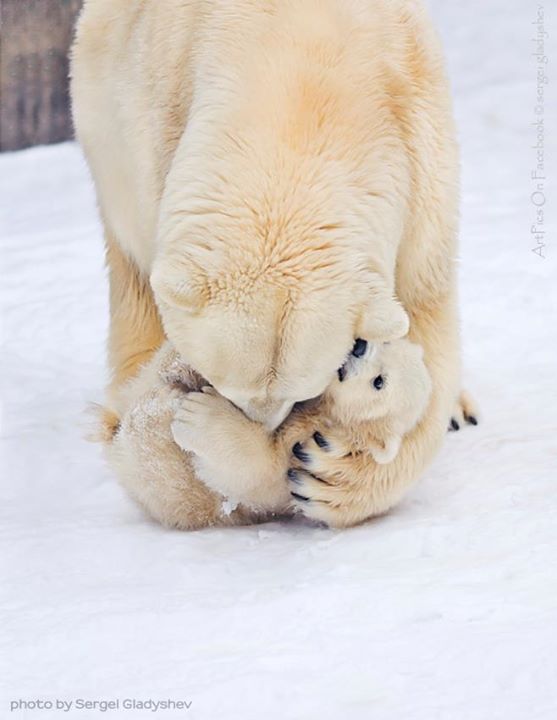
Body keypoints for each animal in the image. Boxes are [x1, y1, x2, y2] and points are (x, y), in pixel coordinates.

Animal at [71, 0, 466, 524]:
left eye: (301, 392)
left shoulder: (419, 154)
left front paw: (330, 473)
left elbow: (423, 320)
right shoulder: (159, 121)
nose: (264, 426)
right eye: (224, 382)